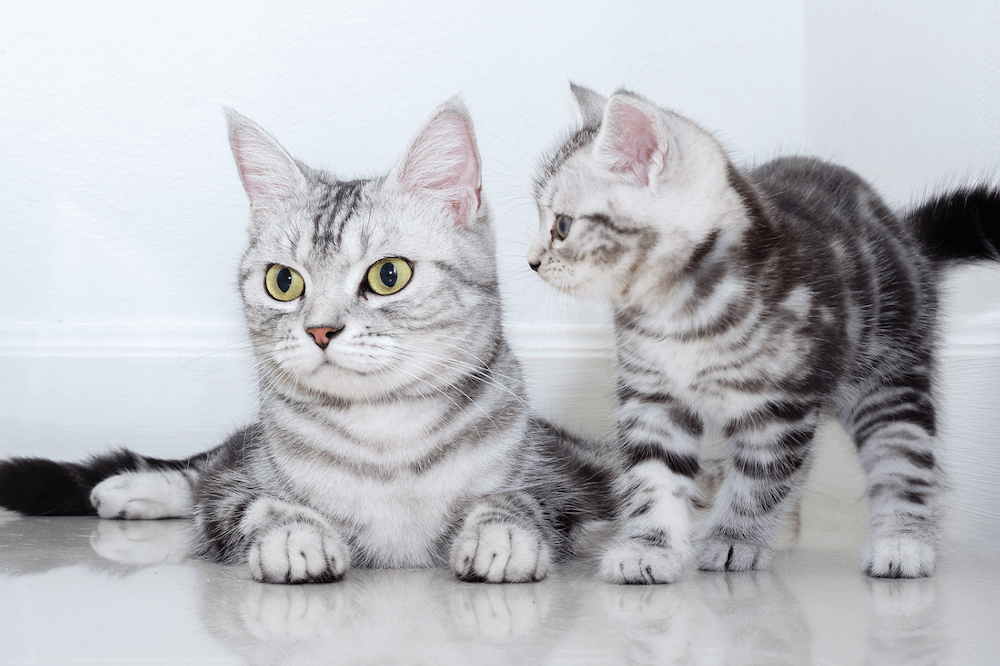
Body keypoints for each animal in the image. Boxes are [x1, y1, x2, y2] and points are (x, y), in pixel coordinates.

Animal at [0, 100, 612, 580]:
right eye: (283, 282)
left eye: (389, 275)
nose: (320, 329)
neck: (386, 440)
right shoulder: (237, 489)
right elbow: (251, 503)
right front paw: (295, 534)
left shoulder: (559, 480)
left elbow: (519, 498)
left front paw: (501, 533)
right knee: (205, 471)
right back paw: (131, 488)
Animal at [528, 83, 996, 580]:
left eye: (562, 226)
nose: (531, 261)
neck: (679, 313)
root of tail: (904, 234)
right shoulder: (652, 397)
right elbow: (654, 476)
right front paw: (648, 547)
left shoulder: (780, 406)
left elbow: (760, 479)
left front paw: (733, 540)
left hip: (890, 375)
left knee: (903, 456)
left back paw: (902, 541)